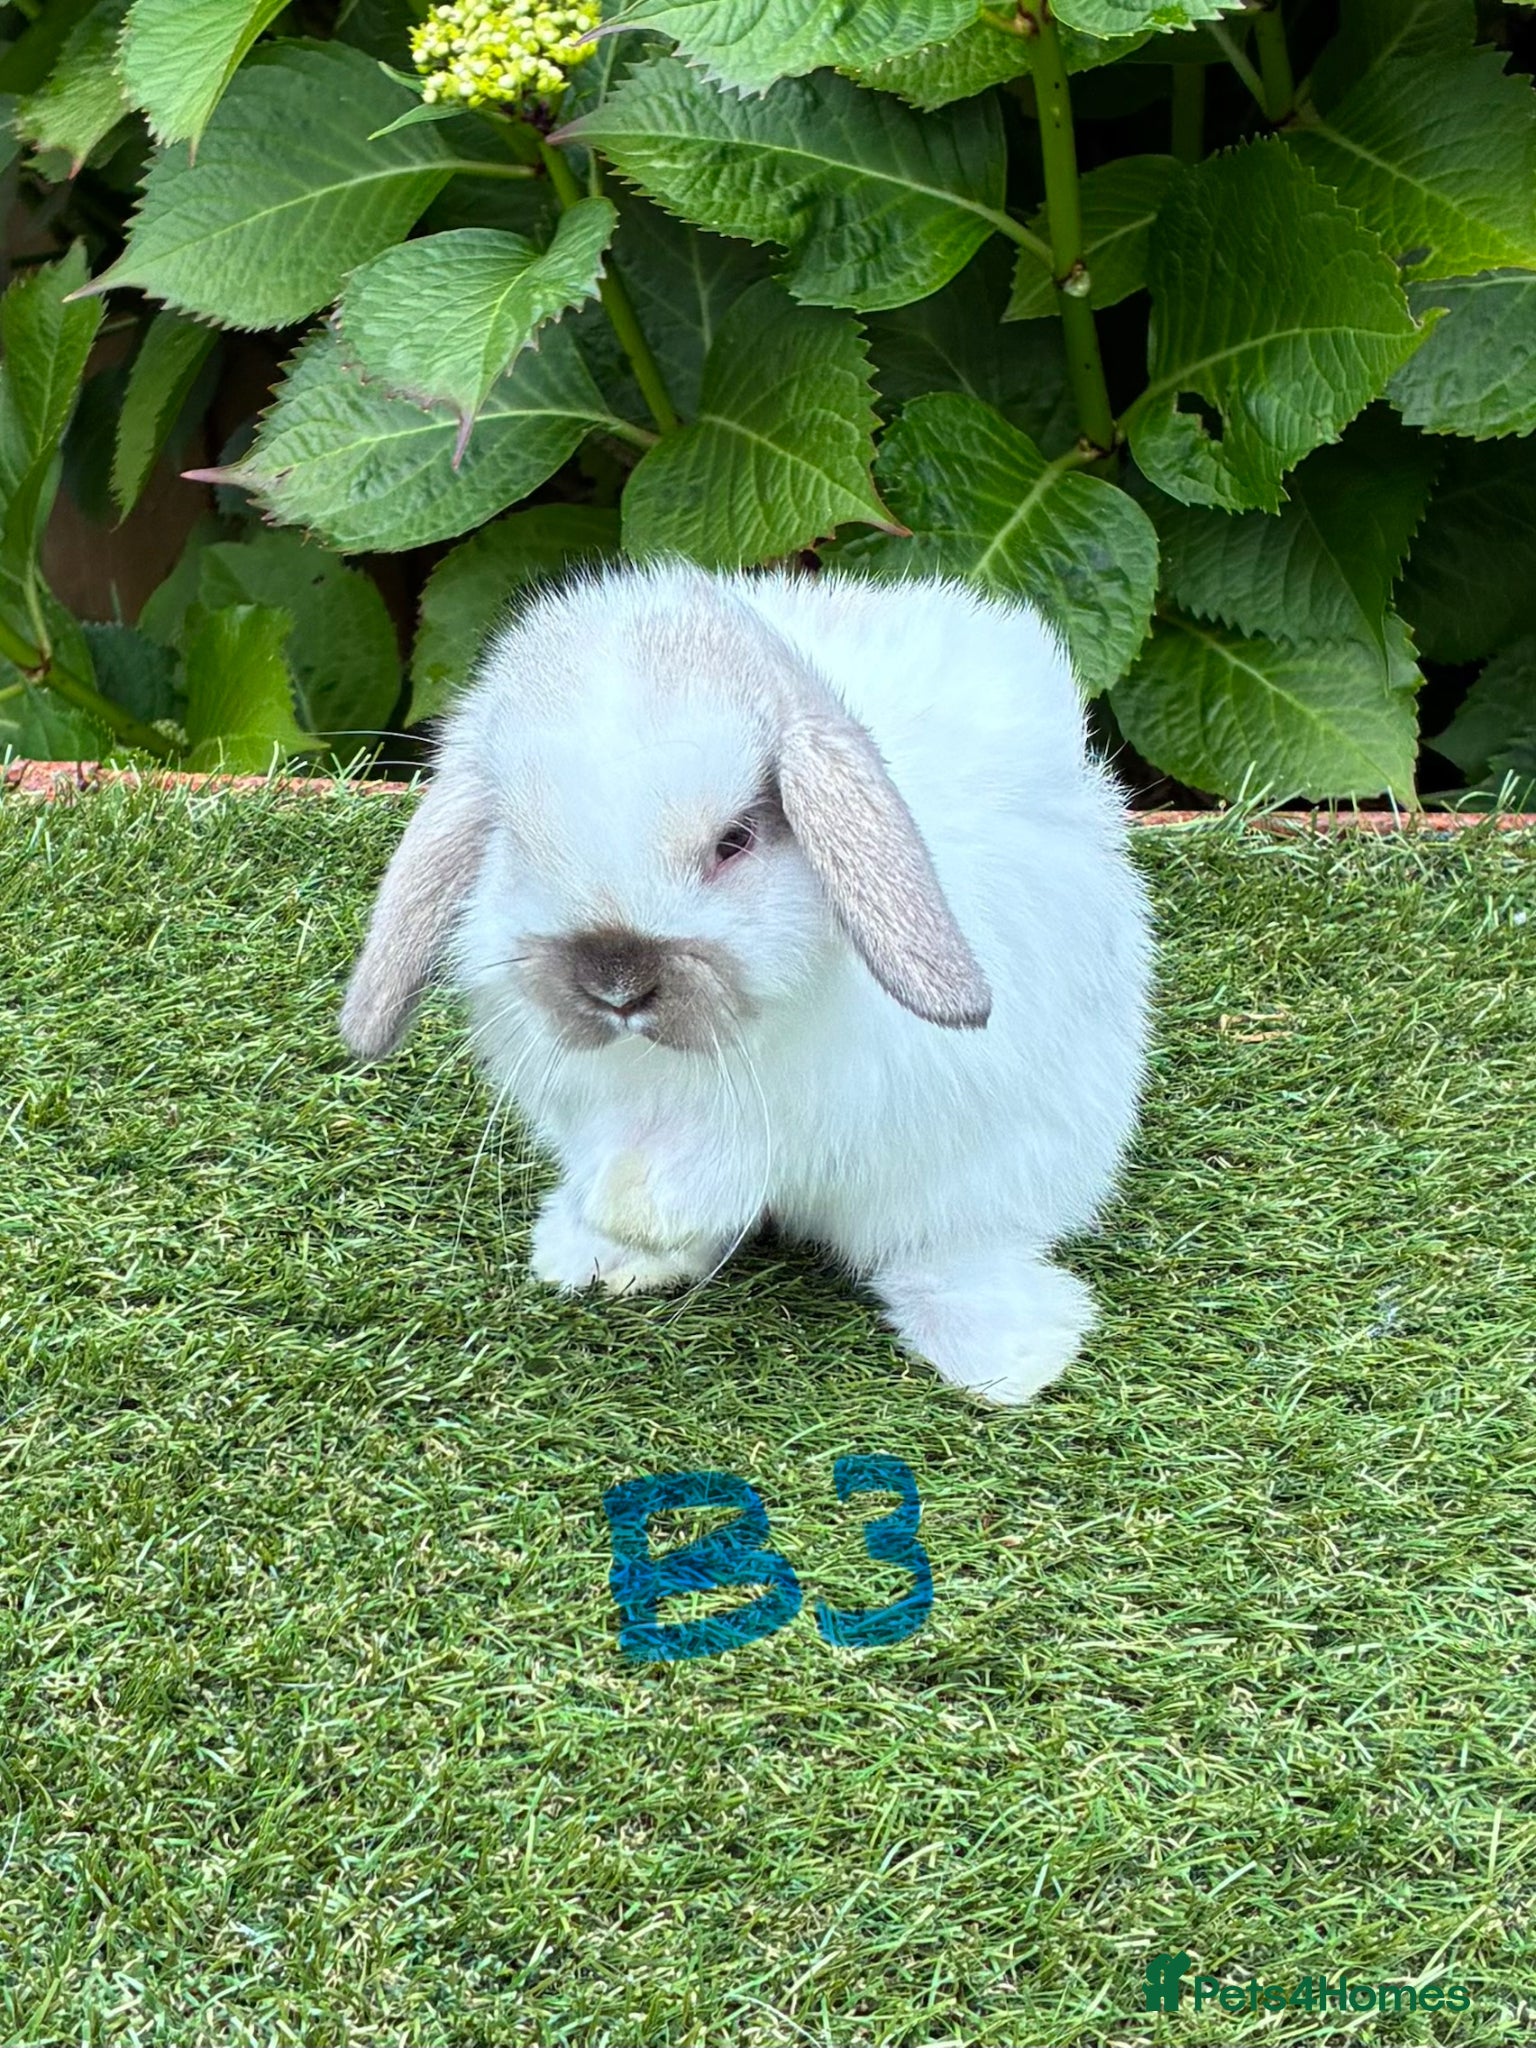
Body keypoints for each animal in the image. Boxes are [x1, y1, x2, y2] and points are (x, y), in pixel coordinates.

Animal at [340, 561, 1154, 1406]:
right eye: (516, 843)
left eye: (734, 841)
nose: (617, 986)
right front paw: (614, 1221)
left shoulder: (813, 1108)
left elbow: (719, 1164)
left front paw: (638, 1211)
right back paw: (597, 1258)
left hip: (995, 1175)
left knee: (942, 1246)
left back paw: (1006, 1352)